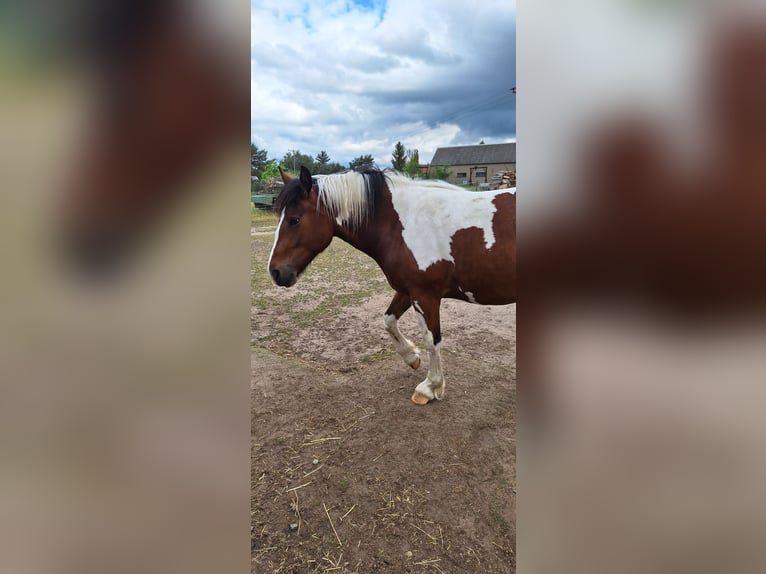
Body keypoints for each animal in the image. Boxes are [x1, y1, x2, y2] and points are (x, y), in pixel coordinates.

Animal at [268, 164, 516, 404]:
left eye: (294, 219)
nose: (275, 272)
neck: (401, 223)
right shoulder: (408, 291)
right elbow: (388, 321)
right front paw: (411, 357)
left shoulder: (425, 296)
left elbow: (431, 340)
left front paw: (430, 387)